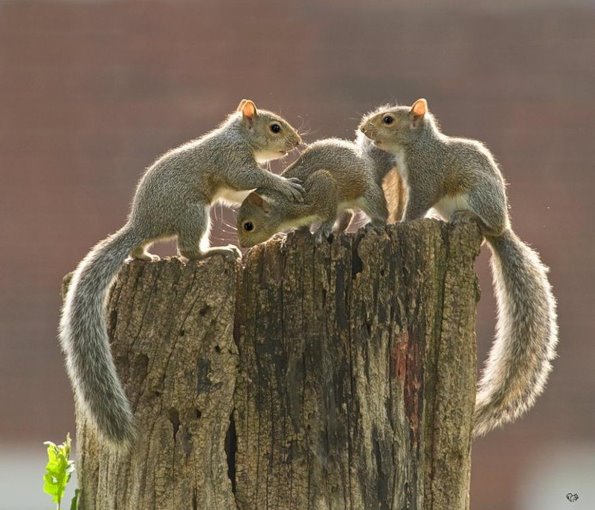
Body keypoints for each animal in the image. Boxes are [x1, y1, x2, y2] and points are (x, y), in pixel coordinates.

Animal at [59, 98, 308, 446]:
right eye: (275, 128)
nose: (297, 142)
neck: (239, 137)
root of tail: (141, 223)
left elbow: (237, 193)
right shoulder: (231, 160)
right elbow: (248, 178)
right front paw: (283, 184)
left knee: (141, 249)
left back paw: (145, 255)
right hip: (192, 213)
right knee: (187, 252)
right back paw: (215, 252)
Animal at [235, 131, 398, 249]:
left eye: (248, 226)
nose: (242, 245)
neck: (284, 207)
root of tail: (371, 166)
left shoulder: (321, 186)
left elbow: (329, 215)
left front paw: (322, 229)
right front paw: (295, 234)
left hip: (368, 194)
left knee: (381, 213)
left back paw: (375, 223)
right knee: (348, 214)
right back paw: (337, 230)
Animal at [358, 100, 560, 438]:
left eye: (388, 120)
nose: (363, 129)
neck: (416, 147)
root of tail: (502, 229)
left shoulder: (426, 178)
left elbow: (416, 207)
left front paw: (399, 225)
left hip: (478, 197)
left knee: (483, 223)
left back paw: (467, 218)